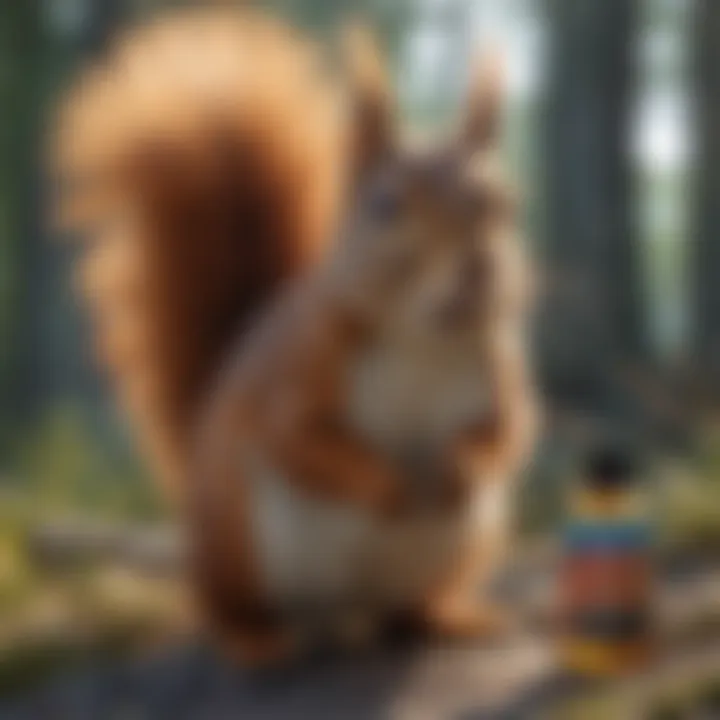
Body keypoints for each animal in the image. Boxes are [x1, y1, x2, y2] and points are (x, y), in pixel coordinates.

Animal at [56, 8, 538, 664]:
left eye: (502, 203)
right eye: (385, 206)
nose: (477, 270)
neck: (421, 340)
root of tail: (343, 616)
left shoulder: (499, 374)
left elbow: (505, 432)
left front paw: (457, 467)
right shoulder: (301, 370)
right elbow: (300, 439)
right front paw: (386, 485)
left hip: (470, 541)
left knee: (408, 612)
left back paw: (453, 617)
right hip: (235, 541)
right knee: (221, 608)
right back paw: (257, 641)